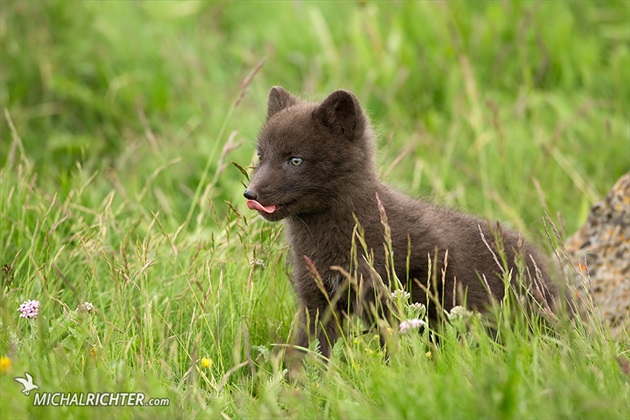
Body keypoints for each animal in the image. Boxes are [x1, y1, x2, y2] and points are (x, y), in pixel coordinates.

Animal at [244, 87, 560, 362]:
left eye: (295, 160)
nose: (250, 194)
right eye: (261, 155)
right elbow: (313, 347)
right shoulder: (317, 296)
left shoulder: (418, 273)